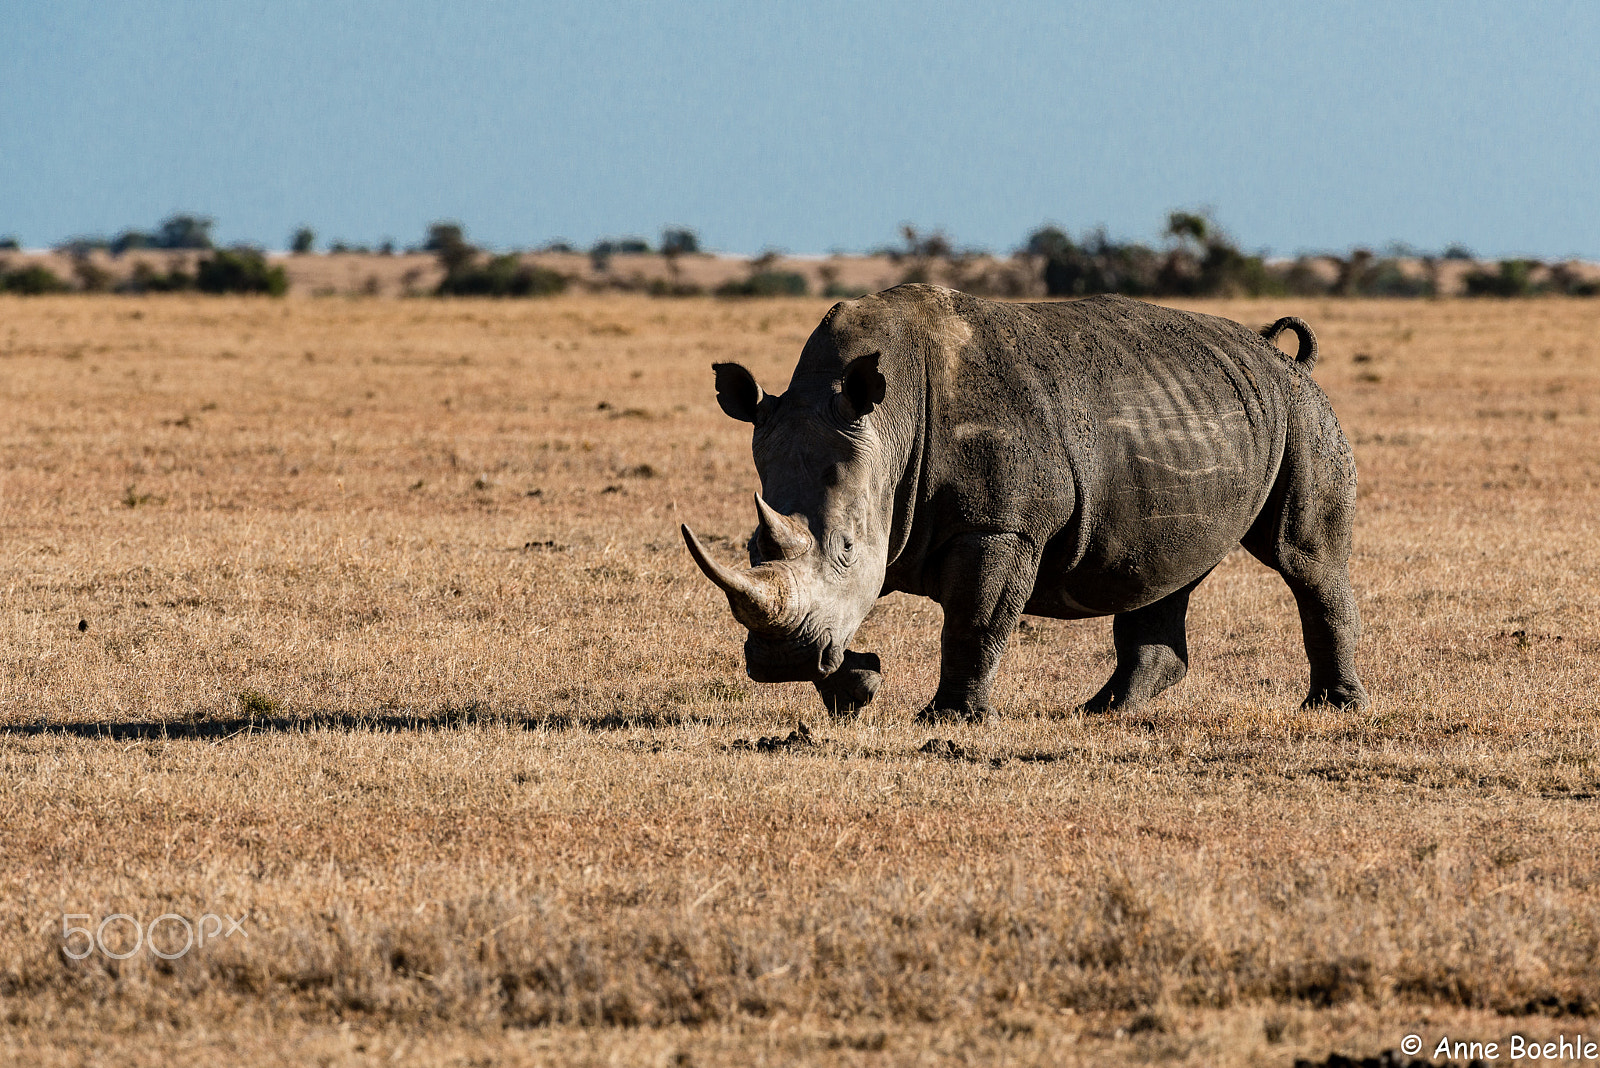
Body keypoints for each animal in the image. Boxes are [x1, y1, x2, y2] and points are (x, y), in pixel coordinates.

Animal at [681, 284, 1367, 721]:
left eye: (847, 549)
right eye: (752, 545)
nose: (779, 660)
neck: (886, 421)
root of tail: (1281, 356)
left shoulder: (999, 525)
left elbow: (975, 620)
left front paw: (949, 720)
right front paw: (856, 688)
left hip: (1301, 412)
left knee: (1302, 559)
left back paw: (1333, 708)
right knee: (1163, 565)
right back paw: (1102, 711)